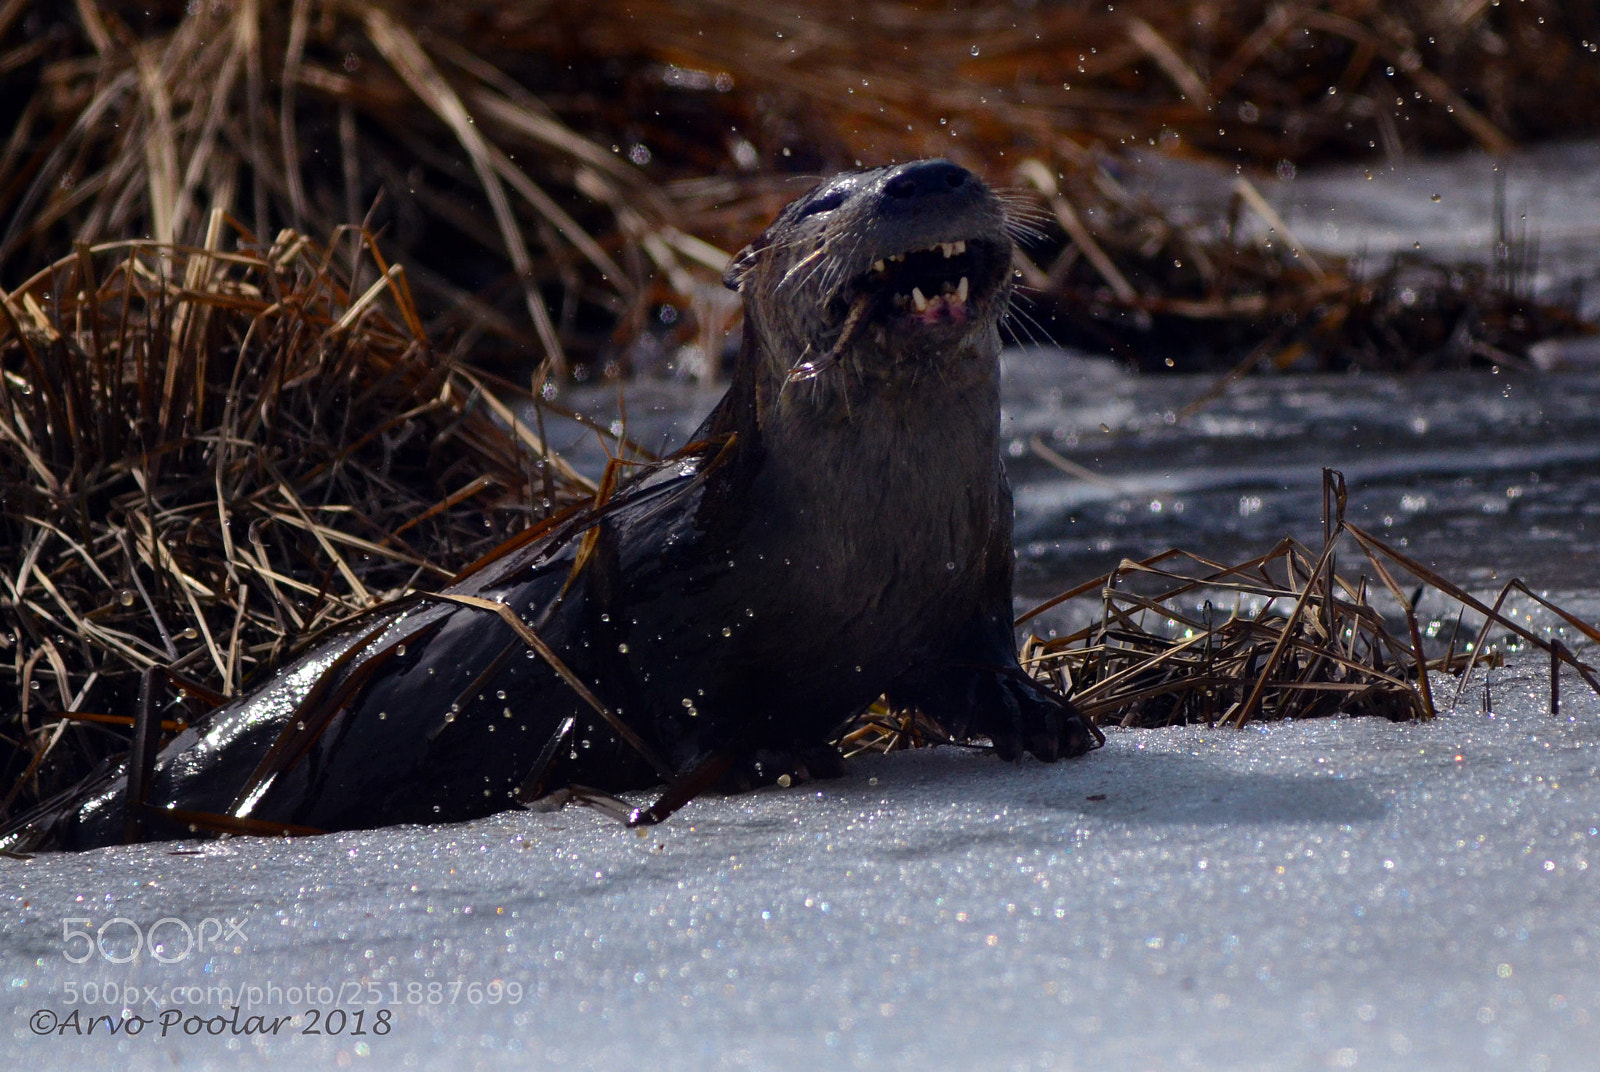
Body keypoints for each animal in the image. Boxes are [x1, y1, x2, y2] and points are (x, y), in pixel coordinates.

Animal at [9, 159, 1101, 851]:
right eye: (823, 200)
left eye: (948, 166)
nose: (927, 178)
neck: (860, 549)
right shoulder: (659, 579)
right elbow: (666, 685)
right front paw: (773, 751)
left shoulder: (973, 573)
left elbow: (971, 664)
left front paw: (1038, 713)